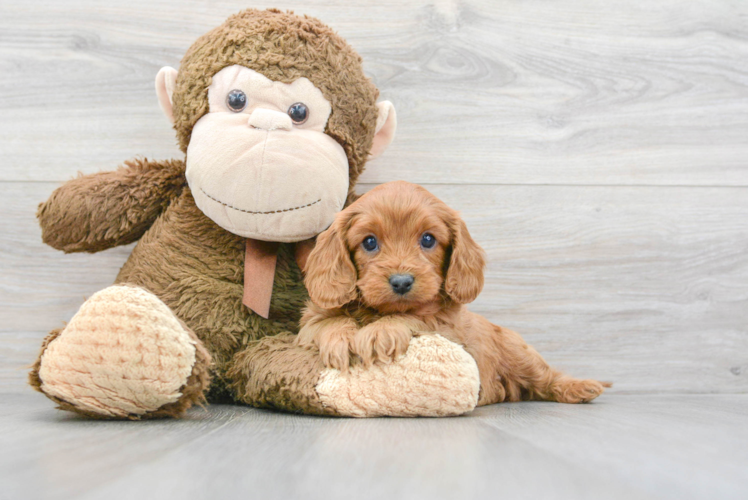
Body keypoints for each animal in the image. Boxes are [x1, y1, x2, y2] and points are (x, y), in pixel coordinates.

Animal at [296, 182, 612, 404]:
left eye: (427, 239)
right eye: (370, 242)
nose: (401, 282)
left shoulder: (447, 328)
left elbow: (414, 318)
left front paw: (379, 333)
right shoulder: (308, 325)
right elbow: (328, 322)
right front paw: (340, 340)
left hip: (520, 354)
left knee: (546, 378)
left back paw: (581, 387)